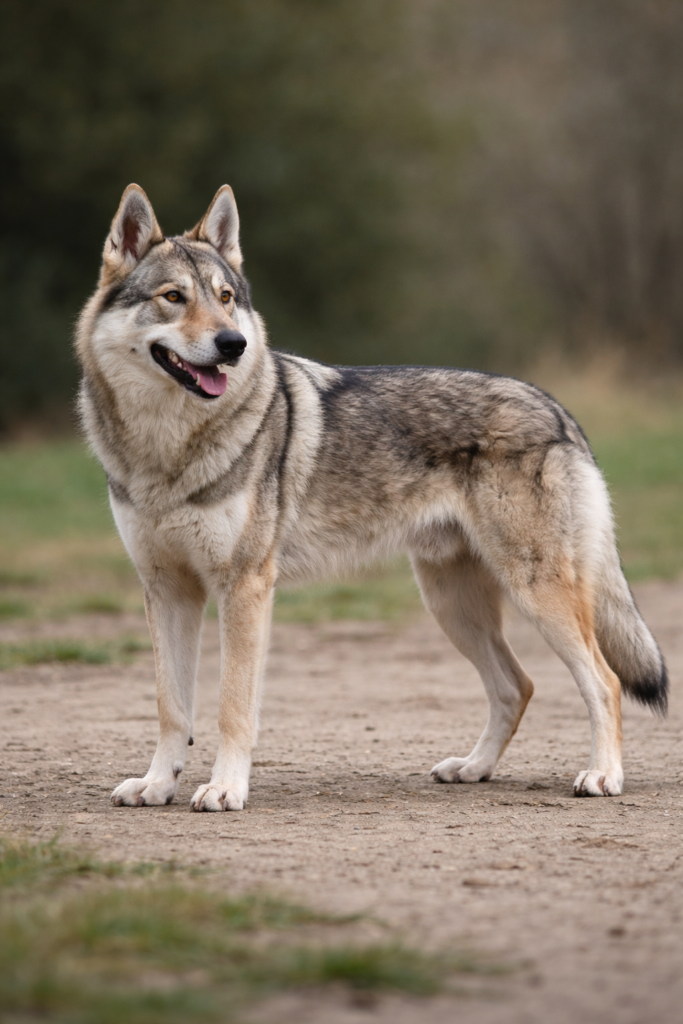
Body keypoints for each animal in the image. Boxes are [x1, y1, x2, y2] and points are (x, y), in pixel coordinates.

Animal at [76, 183, 667, 811]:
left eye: (226, 298)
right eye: (173, 297)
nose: (233, 344)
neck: (167, 449)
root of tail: (557, 409)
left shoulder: (244, 589)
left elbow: (232, 707)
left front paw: (225, 788)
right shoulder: (167, 591)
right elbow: (172, 707)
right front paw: (157, 784)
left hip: (534, 594)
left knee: (603, 681)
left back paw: (603, 776)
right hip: (451, 605)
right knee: (518, 686)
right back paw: (473, 768)